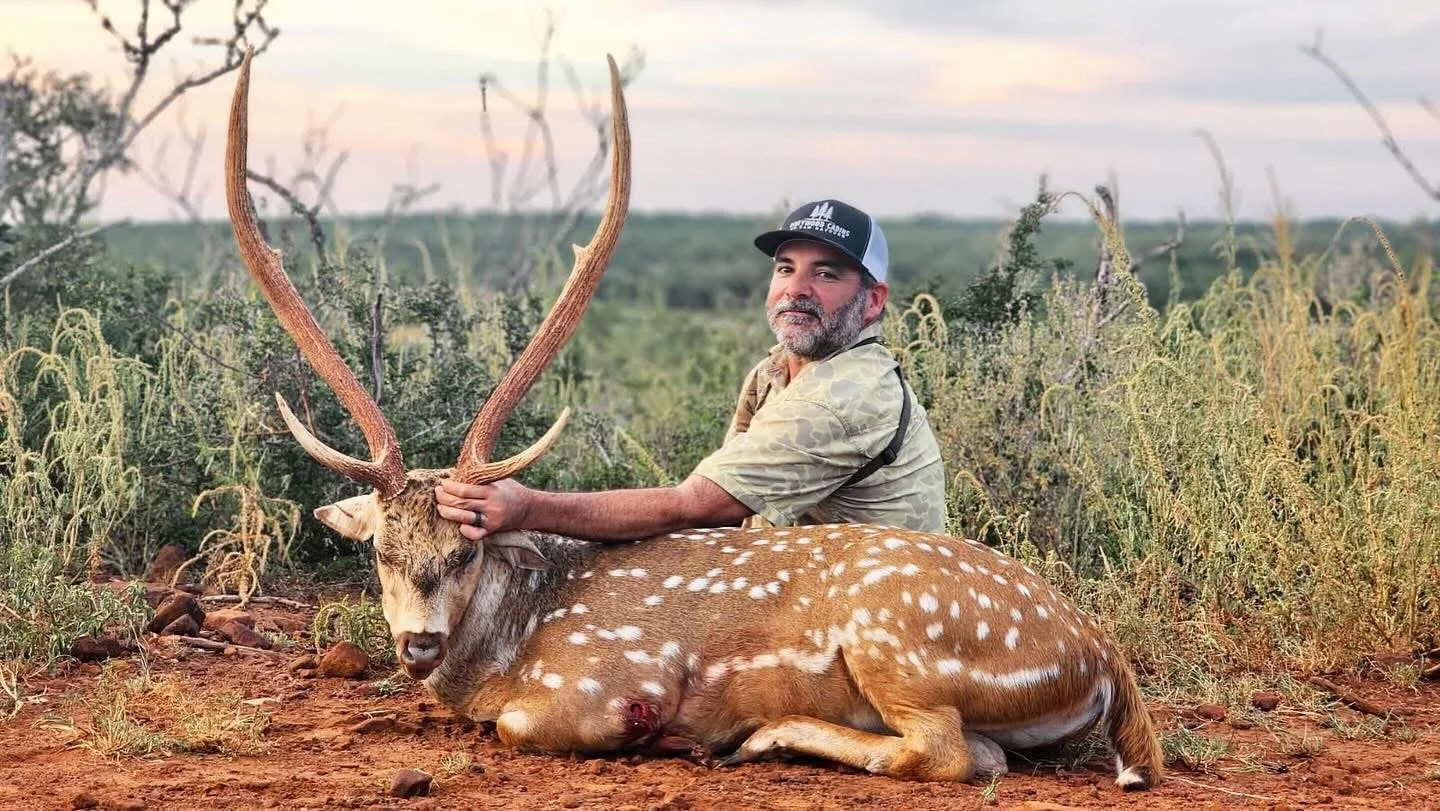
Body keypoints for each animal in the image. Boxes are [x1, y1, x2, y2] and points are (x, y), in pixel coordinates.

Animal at [223, 47, 1163, 789]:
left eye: (465, 549)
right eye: (381, 549)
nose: (417, 645)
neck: (511, 639)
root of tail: (1101, 653)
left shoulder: (593, 683)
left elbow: (526, 724)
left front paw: (672, 732)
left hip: (899, 641)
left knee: (945, 751)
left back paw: (765, 736)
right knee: (984, 753)